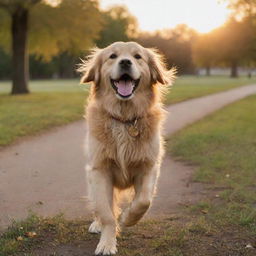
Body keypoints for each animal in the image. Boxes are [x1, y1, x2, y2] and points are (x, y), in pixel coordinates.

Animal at [79, 41, 175, 254]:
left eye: (137, 56)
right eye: (112, 56)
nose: (125, 62)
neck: (124, 119)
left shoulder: (149, 167)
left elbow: (144, 201)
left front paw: (127, 218)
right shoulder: (100, 170)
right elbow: (106, 213)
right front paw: (107, 243)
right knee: (99, 206)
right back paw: (97, 224)